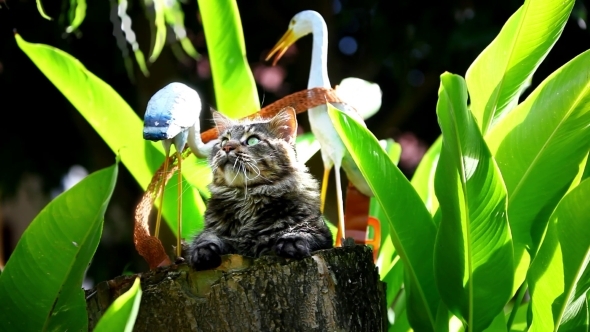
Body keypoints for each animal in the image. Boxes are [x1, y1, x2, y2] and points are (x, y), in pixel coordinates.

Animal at [190, 107, 338, 272]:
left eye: (253, 140)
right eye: (224, 140)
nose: (227, 147)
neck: (246, 195)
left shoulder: (319, 229)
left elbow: (302, 230)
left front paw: (291, 242)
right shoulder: (213, 232)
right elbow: (206, 238)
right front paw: (203, 253)